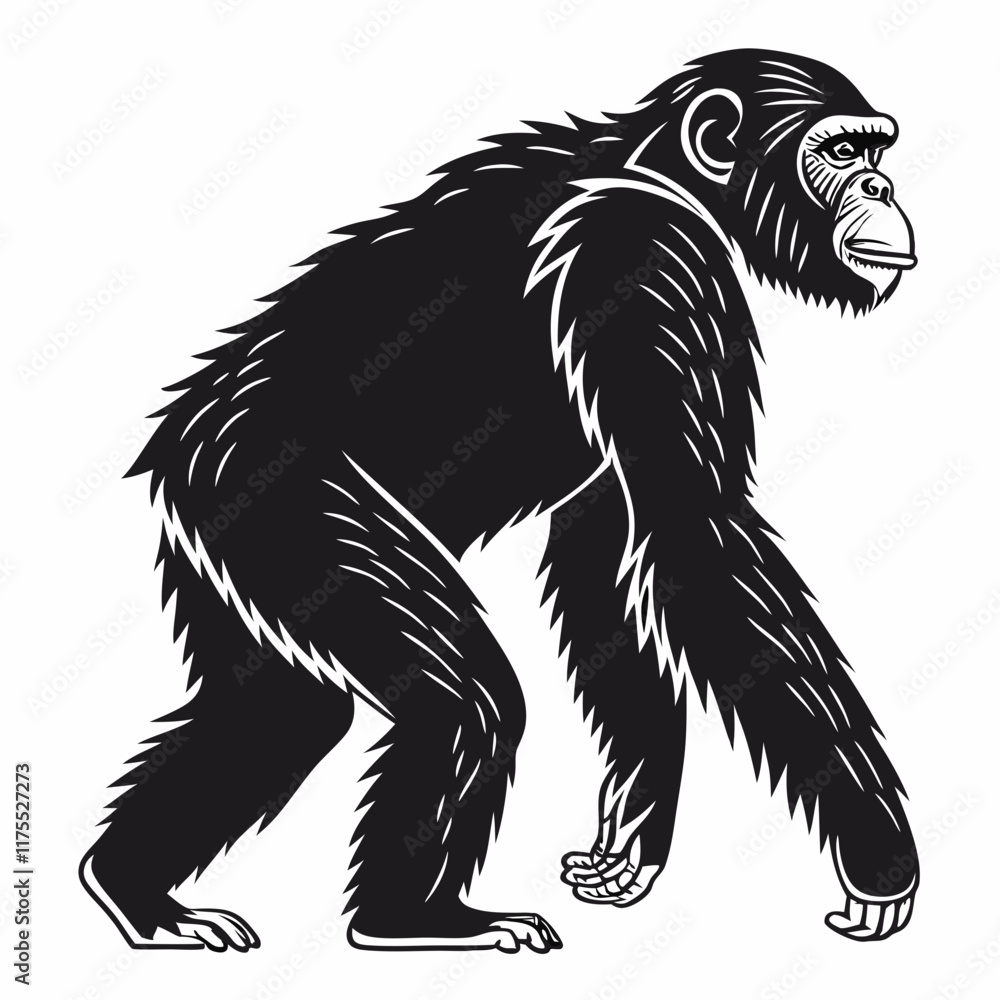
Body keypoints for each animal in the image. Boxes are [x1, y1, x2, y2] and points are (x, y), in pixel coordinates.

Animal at [80, 48, 919, 953]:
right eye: (842, 153)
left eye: (877, 152)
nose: (882, 188)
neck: (666, 176)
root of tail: (180, 449)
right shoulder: (637, 257)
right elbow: (695, 535)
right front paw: (878, 855)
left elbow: (608, 557)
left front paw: (632, 838)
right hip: (289, 505)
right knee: (460, 699)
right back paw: (412, 919)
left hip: (229, 547)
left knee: (276, 714)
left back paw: (135, 892)